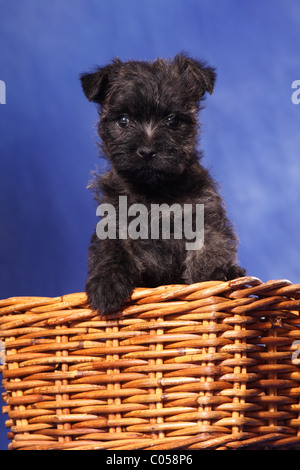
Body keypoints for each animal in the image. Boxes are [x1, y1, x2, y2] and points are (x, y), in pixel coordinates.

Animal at [81, 53, 245, 314]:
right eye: (123, 120)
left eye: (173, 121)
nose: (147, 151)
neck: (153, 192)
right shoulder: (113, 222)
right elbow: (110, 251)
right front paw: (106, 286)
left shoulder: (204, 214)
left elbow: (211, 247)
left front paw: (216, 275)